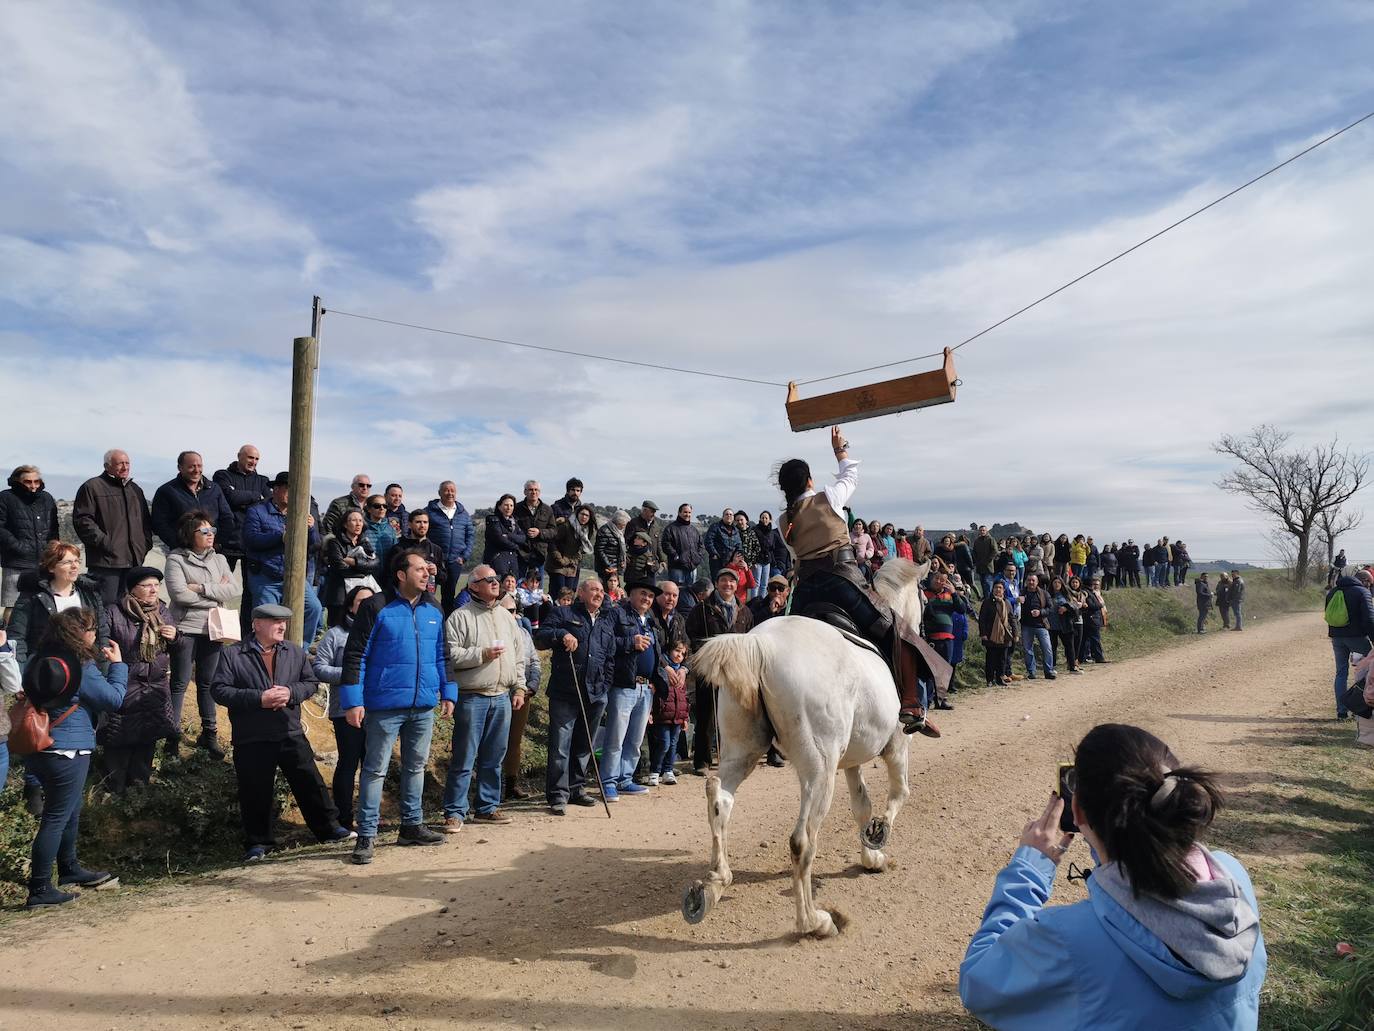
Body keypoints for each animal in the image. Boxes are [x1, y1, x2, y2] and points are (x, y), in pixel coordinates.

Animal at [681, 560, 928, 940]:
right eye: (924, 598)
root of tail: (760, 644)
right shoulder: (898, 746)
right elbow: (898, 794)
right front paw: (877, 836)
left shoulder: (851, 761)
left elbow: (861, 805)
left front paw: (870, 856)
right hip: (818, 772)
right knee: (801, 841)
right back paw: (814, 921)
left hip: (742, 752)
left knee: (720, 801)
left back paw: (714, 884)